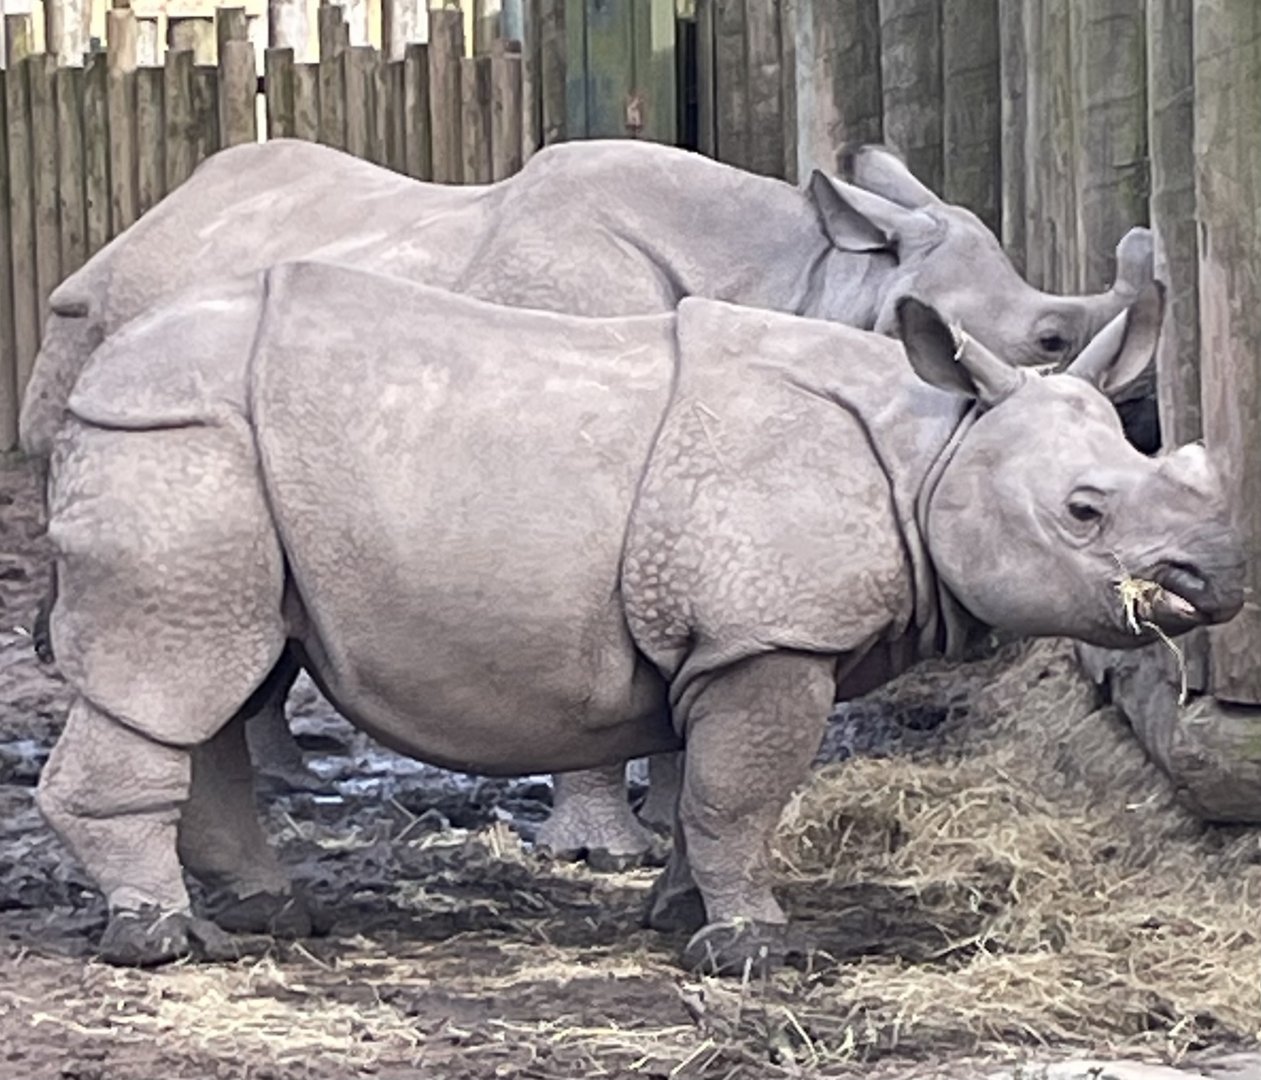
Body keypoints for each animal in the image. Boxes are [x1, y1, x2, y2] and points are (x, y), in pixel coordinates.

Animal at [21, 137, 1157, 867]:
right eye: (1048, 338)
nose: (1136, 420)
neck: (802, 271)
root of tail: (148, 221)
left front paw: (673, 818)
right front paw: (605, 851)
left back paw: (290, 782)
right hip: (90, 340)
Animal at [35, 265, 1242, 973]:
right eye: (1083, 512)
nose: (1222, 575)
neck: (933, 447)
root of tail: (99, 367)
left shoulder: (731, 641)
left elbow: (713, 792)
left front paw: (684, 916)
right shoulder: (772, 634)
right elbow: (739, 793)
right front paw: (754, 953)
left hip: (208, 451)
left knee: (220, 683)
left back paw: (267, 919)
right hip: (177, 443)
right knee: (180, 670)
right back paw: (164, 943)